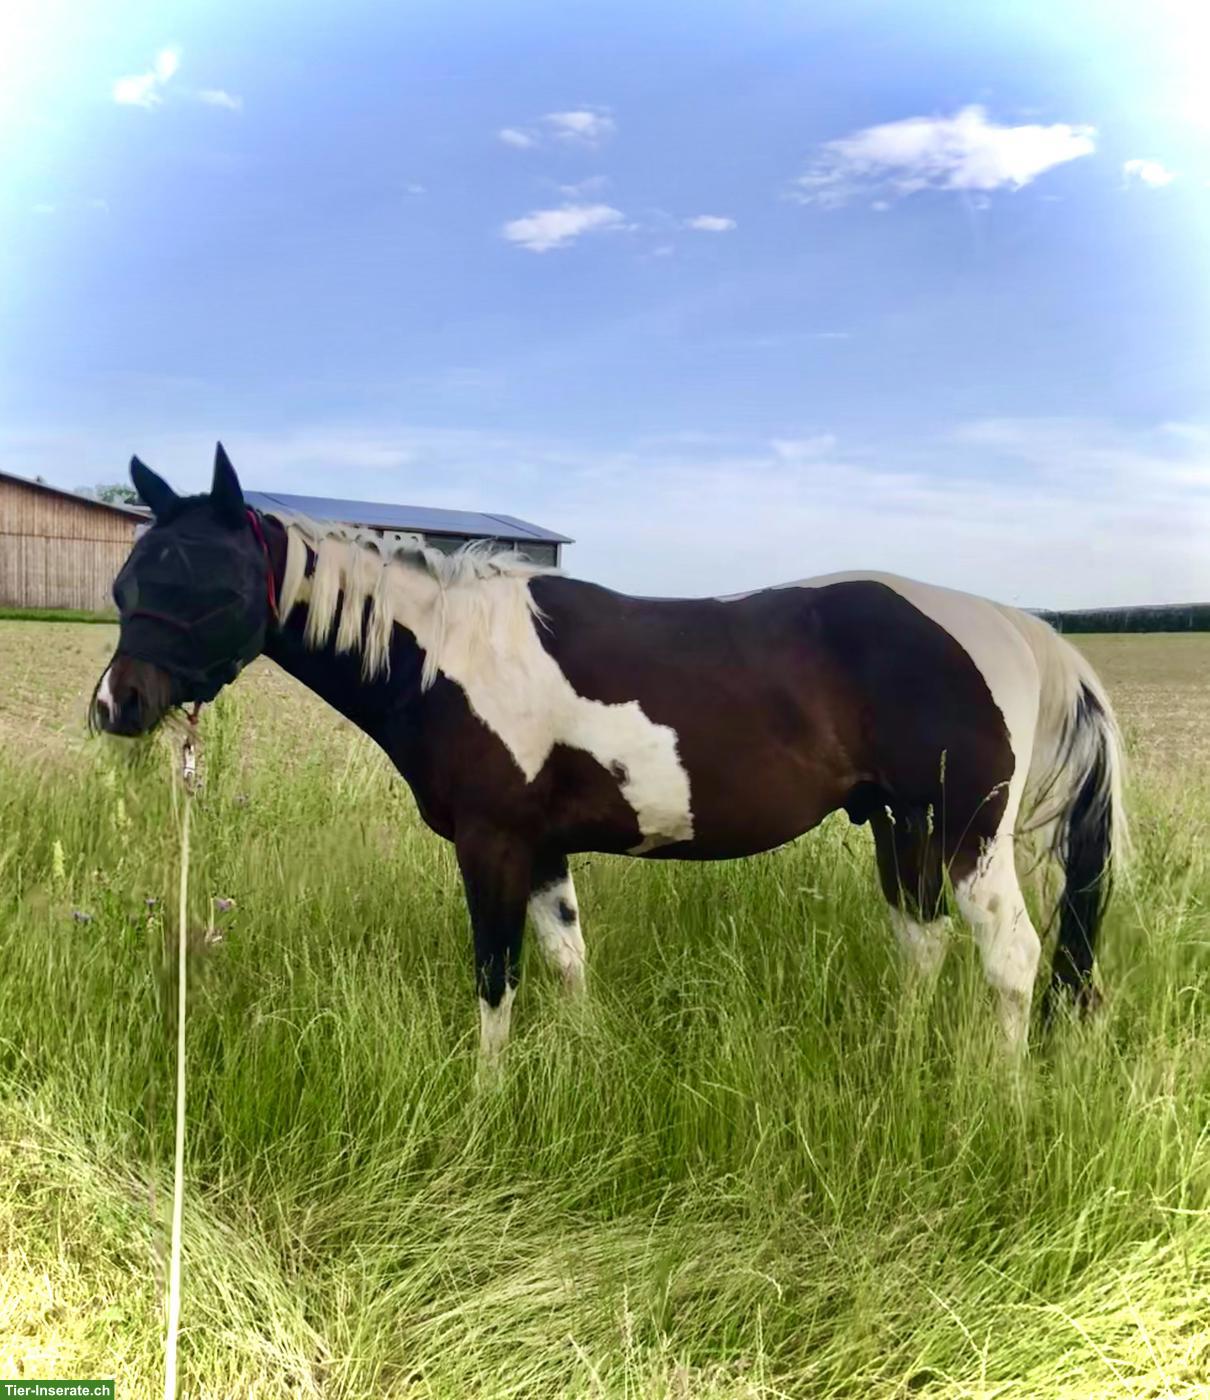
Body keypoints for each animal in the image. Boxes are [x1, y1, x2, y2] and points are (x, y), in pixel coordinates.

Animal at [92, 444, 1127, 1061]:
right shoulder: (543, 847)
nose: (115, 705)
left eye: (211, 583)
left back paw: (991, 1101)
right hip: (899, 826)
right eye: (128, 579)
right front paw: (583, 1067)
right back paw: (903, 1061)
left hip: (967, 831)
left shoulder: (494, 844)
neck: (449, 654)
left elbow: (497, 975)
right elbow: (565, 960)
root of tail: (1018, 627)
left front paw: (486, 1103)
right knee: (923, 941)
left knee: (1011, 958)